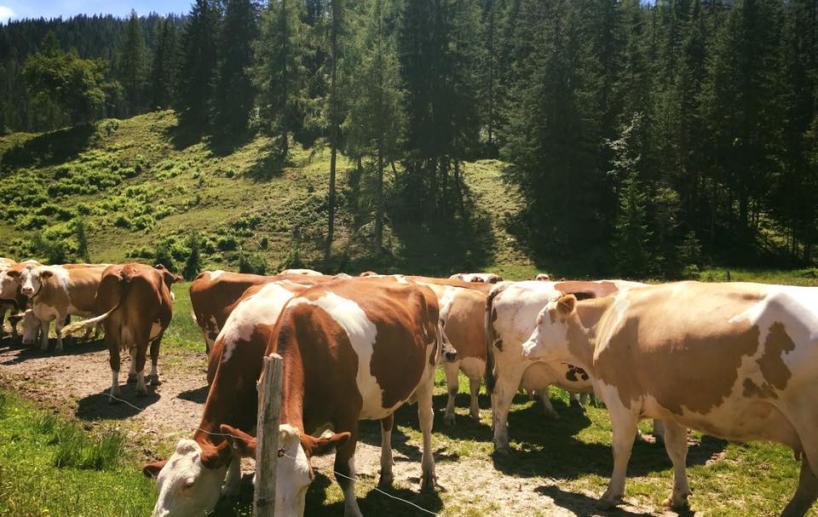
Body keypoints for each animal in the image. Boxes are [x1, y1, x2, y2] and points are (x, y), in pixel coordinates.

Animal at [61, 264, 182, 398]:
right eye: (170, 281)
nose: (172, 295)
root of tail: (127, 270)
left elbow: (133, 352)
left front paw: (132, 375)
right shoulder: (159, 333)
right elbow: (153, 353)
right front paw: (155, 377)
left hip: (110, 329)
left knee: (115, 360)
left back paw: (115, 393)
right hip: (142, 328)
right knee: (141, 358)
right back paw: (141, 389)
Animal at [143, 278, 444, 516]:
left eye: (189, 484)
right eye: (159, 482)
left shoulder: (347, 414)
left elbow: (344, 471)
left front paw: (352, 510)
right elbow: (236, 441)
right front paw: (231, 485)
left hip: (428, 374)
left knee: (426, 420)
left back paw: (428, 474)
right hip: (388, 388)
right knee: (387, 421)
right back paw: (387, 470)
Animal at [520, 280, 816, 512]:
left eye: (539, 321)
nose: (524, 347)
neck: (606, 323)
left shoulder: (621, 400)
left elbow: (621, 448)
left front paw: (611, 495)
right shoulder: (672, 407)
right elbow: (676, 450)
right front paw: (678, 496)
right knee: (807, 485)